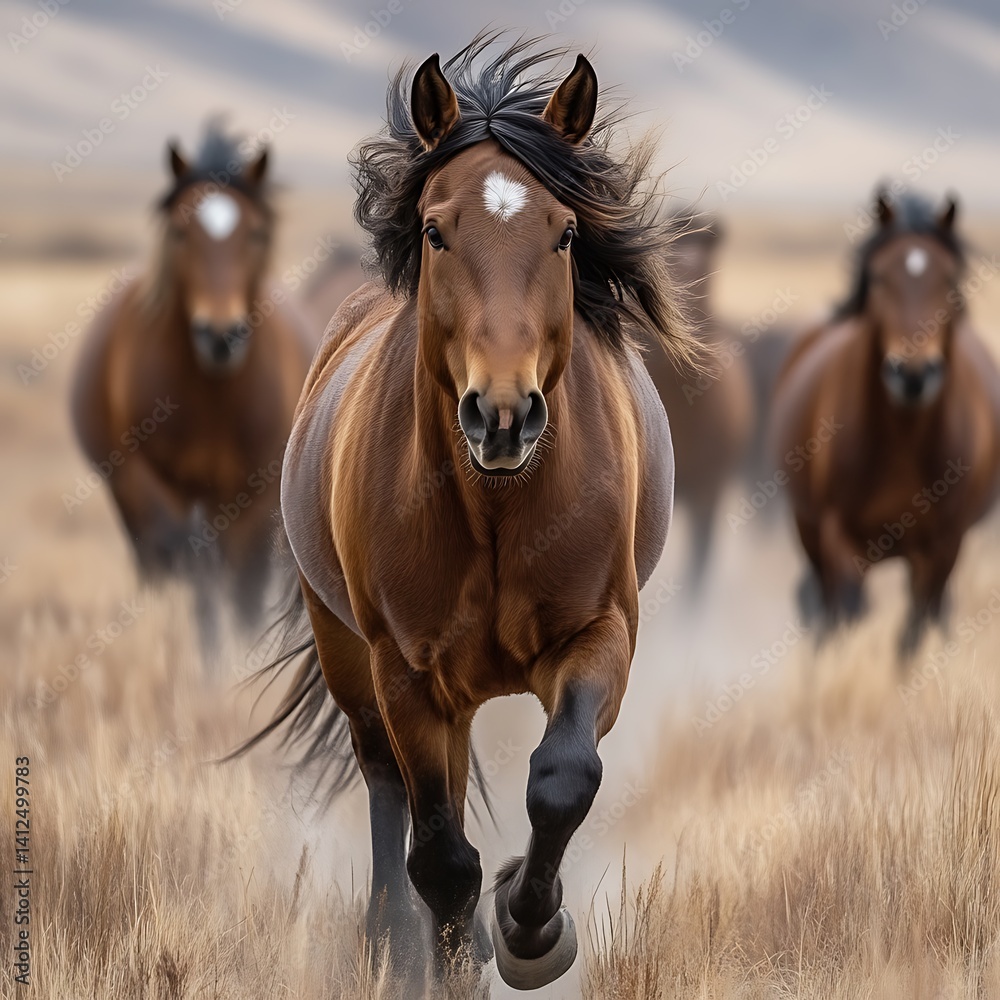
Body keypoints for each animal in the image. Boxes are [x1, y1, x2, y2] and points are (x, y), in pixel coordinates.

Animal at [71, 123, 316, 644]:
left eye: (256, 233)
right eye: (181, 232)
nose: (220, 335)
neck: (213, 398)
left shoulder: (255, 498)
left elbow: (243, 593)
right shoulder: (152, 487)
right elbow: (190, 581)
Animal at [240, 36, 695, 992]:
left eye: (566, 232)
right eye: (435, 229)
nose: (503, 414)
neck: (495, 510)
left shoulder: (600, 632)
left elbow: (562, 777)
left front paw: (530, 927)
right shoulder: (407, 674)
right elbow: (442, 859)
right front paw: (458, 956)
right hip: (350, 655)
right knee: (386, 788)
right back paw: (389, 943)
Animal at [771, 189, 1000, 655]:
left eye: (950, 280)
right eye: (879, 278)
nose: (913, 374)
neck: (903, 438)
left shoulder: (942, 548)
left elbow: (912, 635)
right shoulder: (840, 539)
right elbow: (847, 618)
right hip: (808, 530)